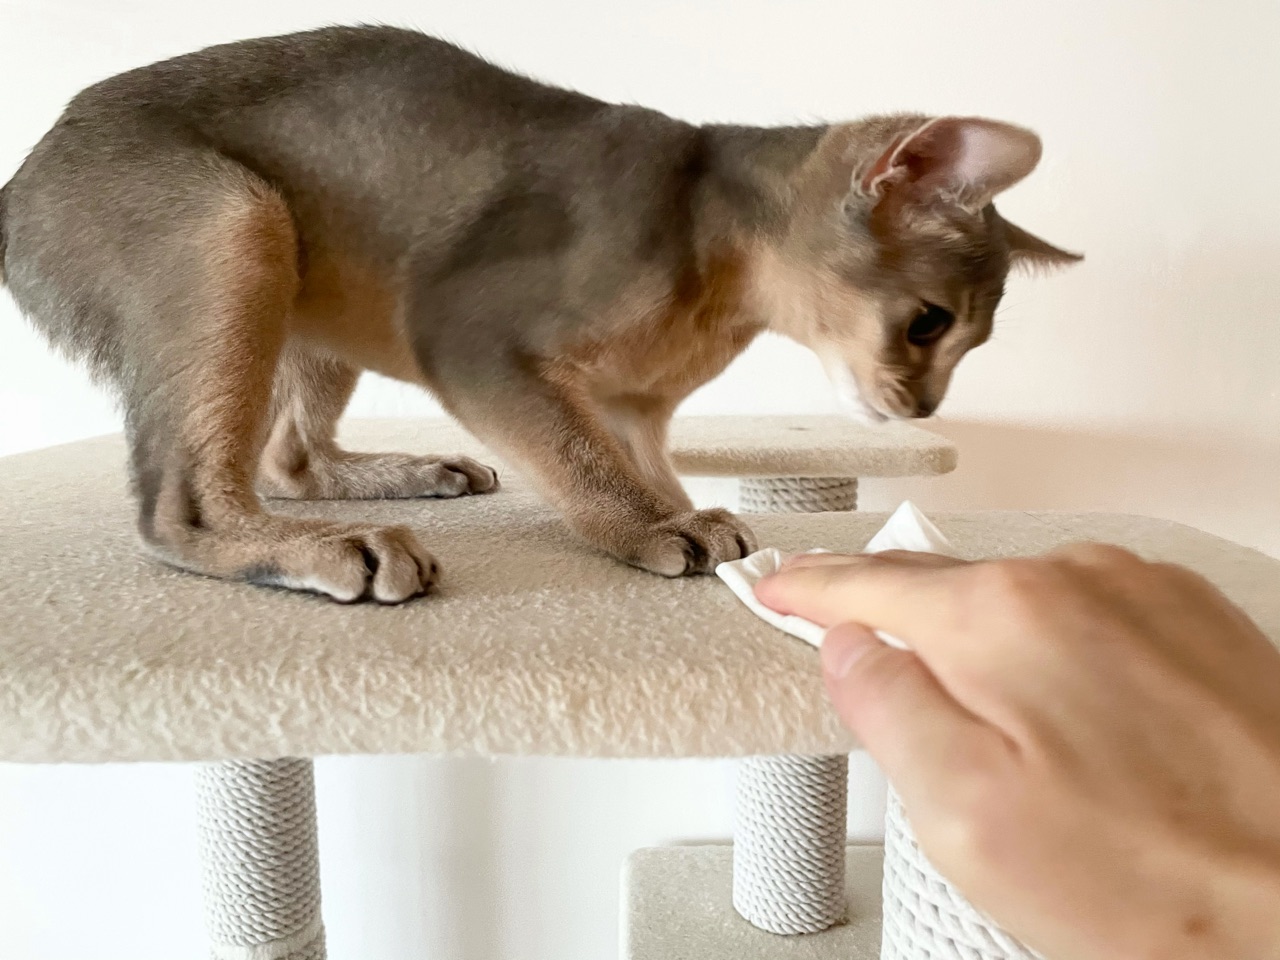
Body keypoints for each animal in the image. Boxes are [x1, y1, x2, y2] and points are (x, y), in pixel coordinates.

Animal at [0, 25, 1079, 603]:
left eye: (970, 340)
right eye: (929, 323)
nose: (924, 409)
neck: (717, 267)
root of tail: (26, 174)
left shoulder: (637, 407)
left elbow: (636, 456)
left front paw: (682, 508)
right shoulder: (469, 336)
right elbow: (575, 458)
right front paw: (650, 529)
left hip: (300, 289)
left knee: (289, 458)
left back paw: (400, 476)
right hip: (236, 223)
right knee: (180, 501)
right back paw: (331, 545)